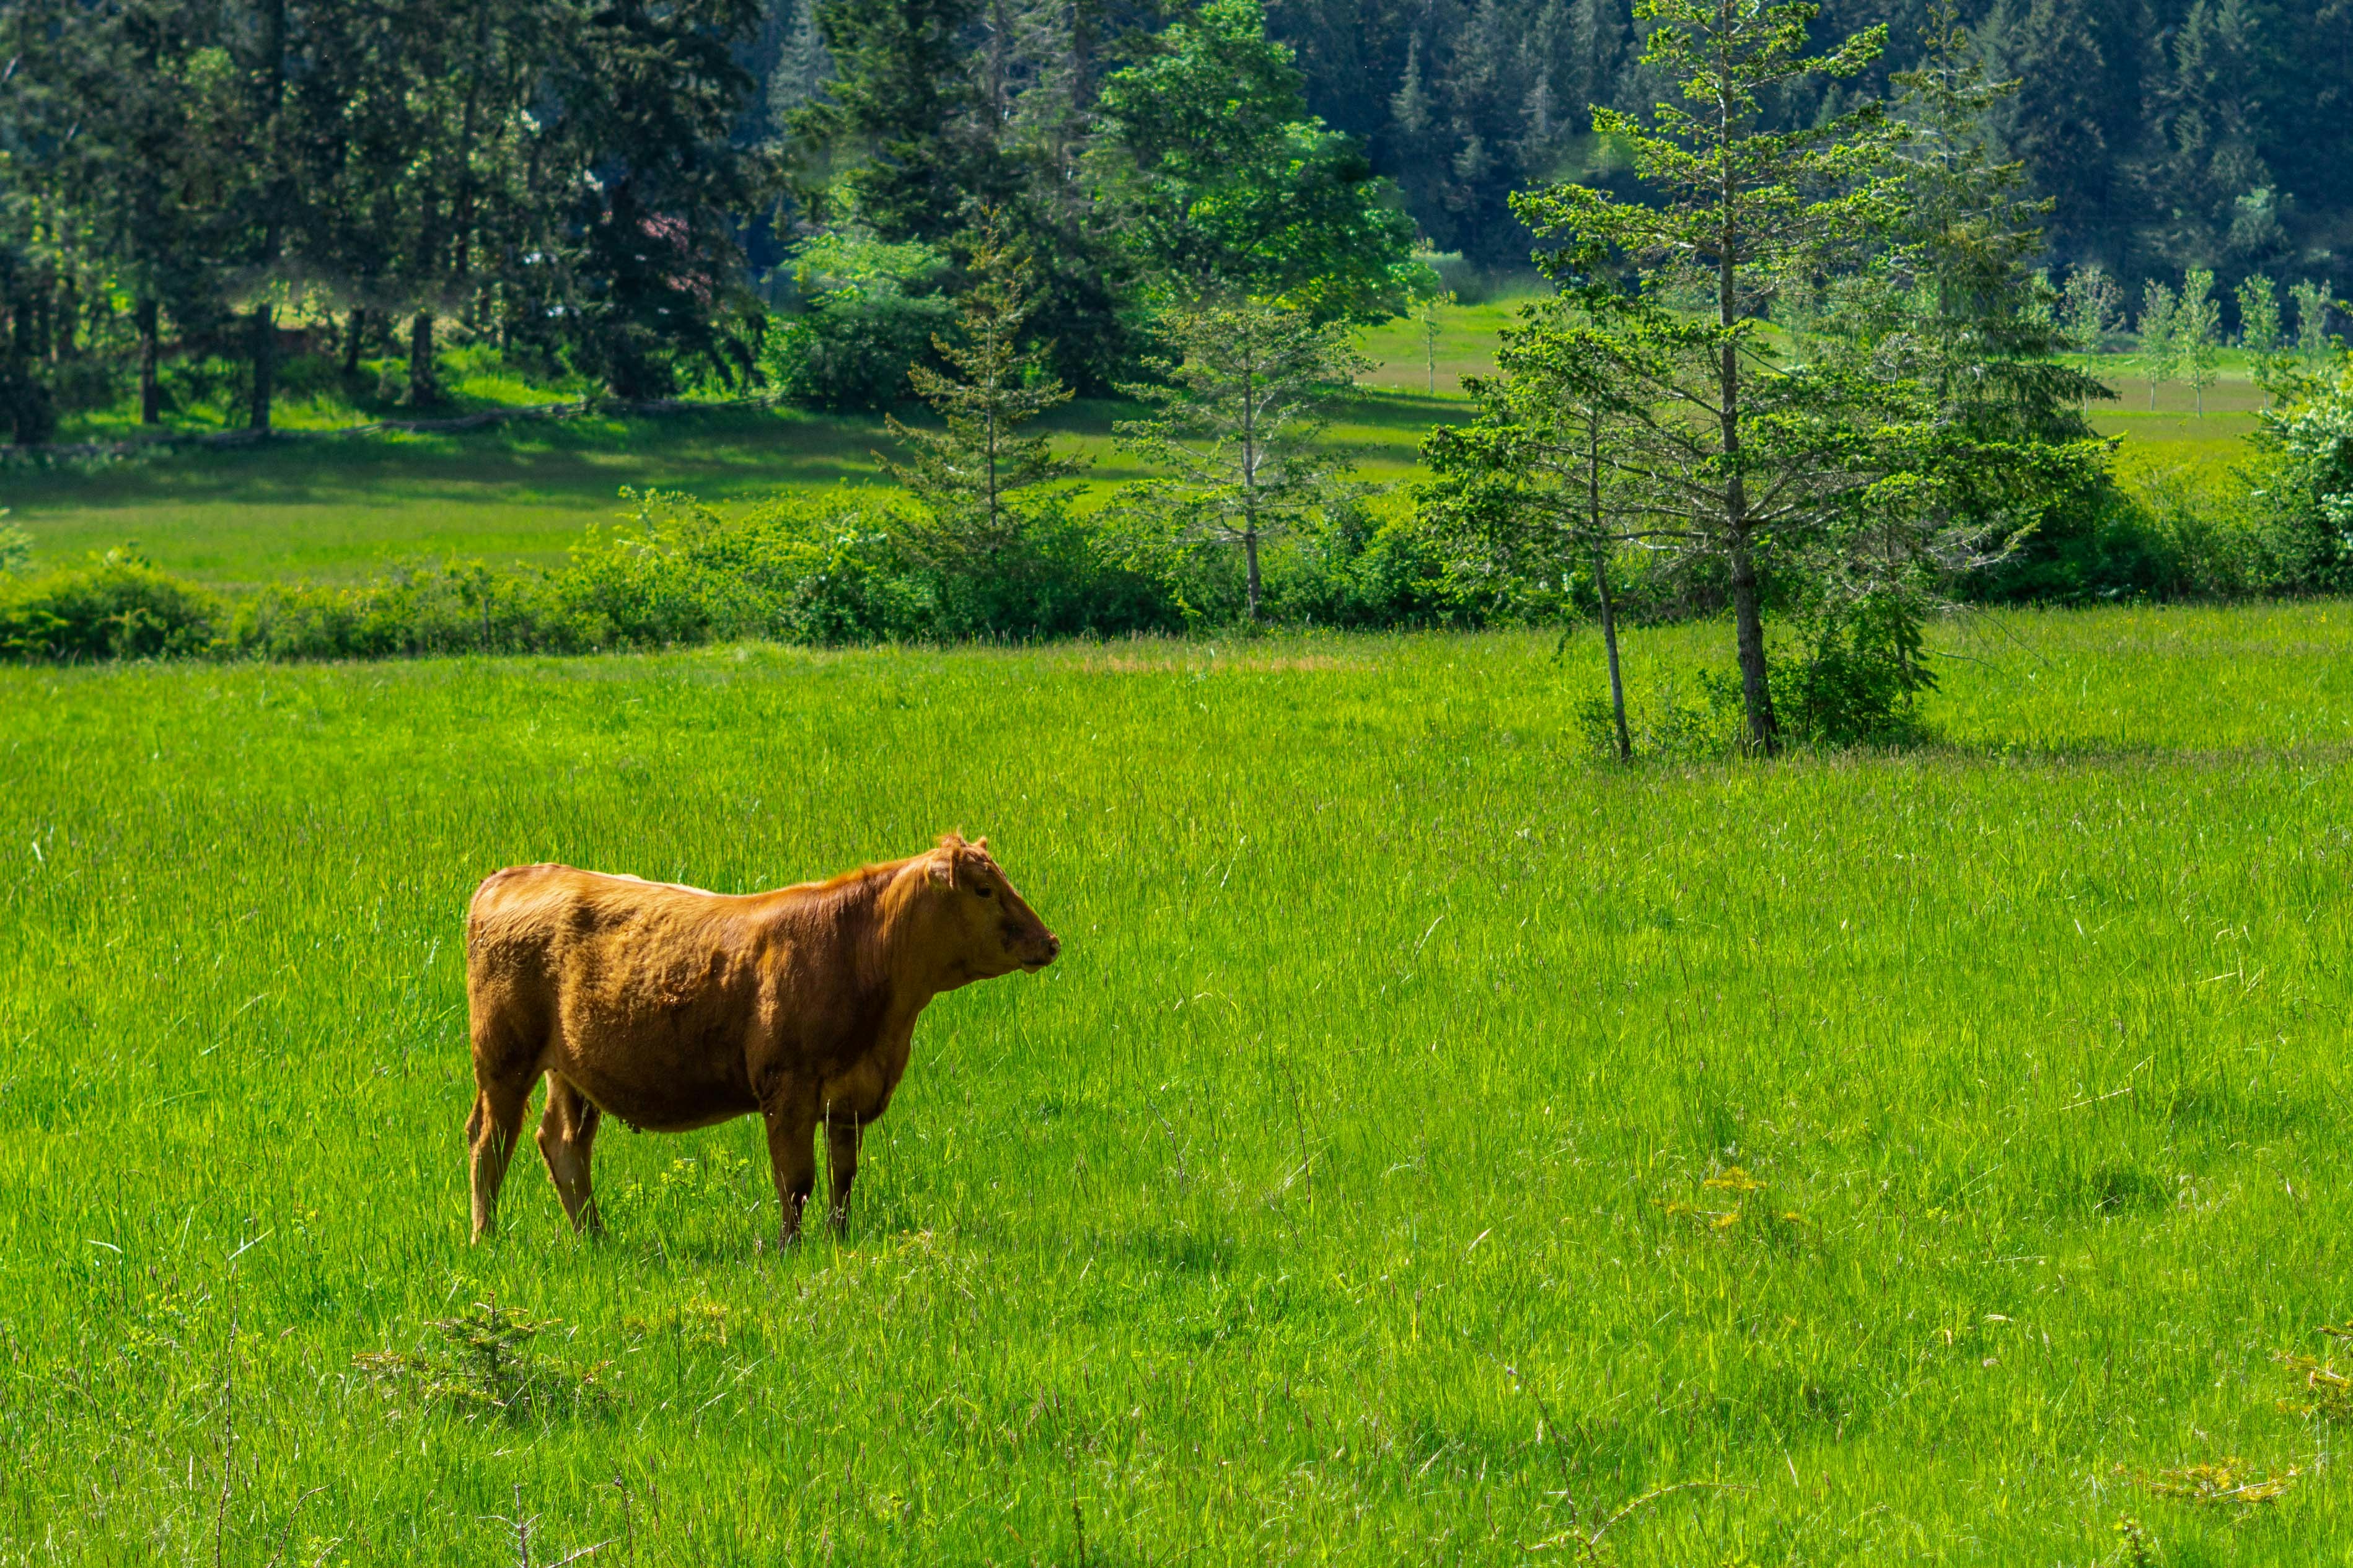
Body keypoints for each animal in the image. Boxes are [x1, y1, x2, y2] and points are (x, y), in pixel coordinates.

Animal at [459, 832, 1058, 1250]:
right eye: (984, 889)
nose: (1049, 941)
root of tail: (510, 875)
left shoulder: (850, 1097)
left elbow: (842, 1178)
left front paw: (838, 1240)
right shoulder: (788, 1090)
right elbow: (795, 1179)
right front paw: (790, 1247)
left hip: (571, 1072)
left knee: (562, 1144)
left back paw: (595, 1238)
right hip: (503, 1060)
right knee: (491, 1142)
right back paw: (486, 1237)